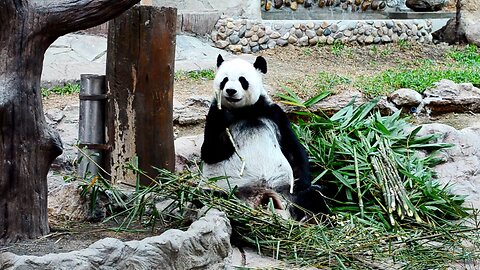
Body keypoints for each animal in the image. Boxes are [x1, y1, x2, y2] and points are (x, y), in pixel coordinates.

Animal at [201, 54, 328, 221]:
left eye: (242, 80)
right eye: (224, 80)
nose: (230, 90)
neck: (244, 111)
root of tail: (262, 195)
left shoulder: (273, 113)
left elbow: (293, 147)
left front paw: (302, 182)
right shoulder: (213, 116)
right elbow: (210, 153)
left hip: (286, 193)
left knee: (313, 196)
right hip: (225, 189)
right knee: (211, 196)